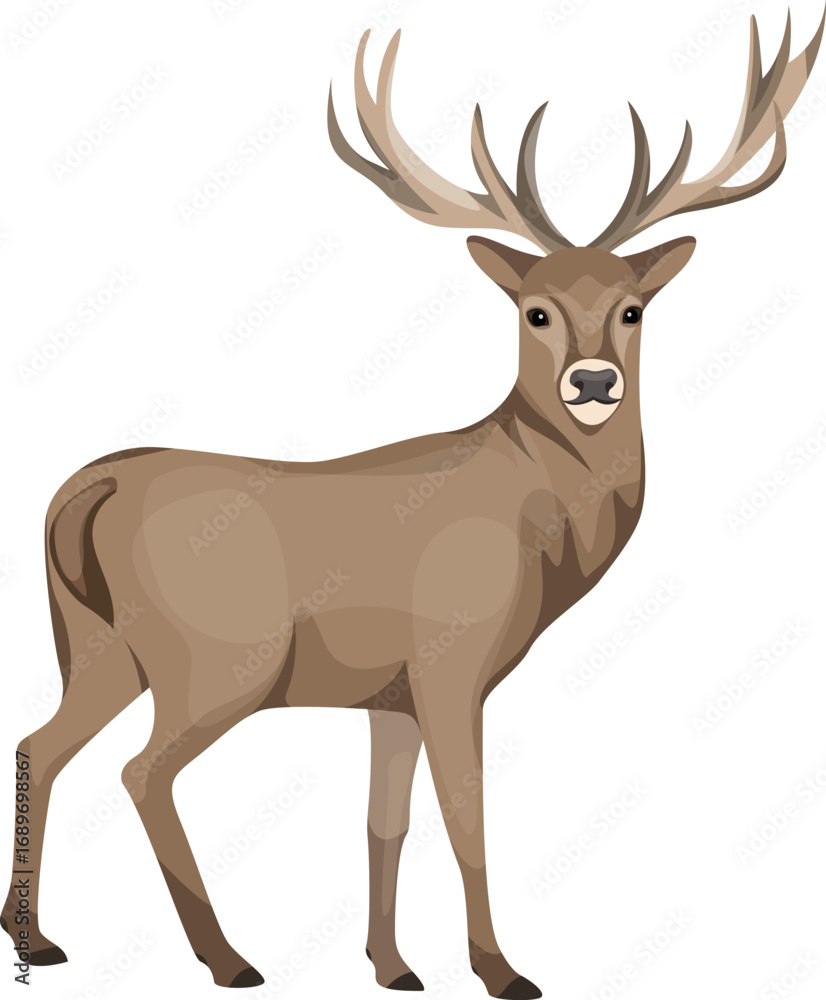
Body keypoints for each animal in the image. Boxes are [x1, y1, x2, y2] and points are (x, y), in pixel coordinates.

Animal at [3, 9, 823, 998]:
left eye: (634, 309)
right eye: (535, 310)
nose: (594, 382)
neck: (541, 529)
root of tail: (91, 485)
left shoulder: (386, 697)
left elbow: (382, 824)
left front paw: (393, 966)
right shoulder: (451, 657)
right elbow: (467, 813)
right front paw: (501, 969)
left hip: (98, 645)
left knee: (39, 742)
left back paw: (37, 937)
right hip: (221, 659)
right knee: (140, 770)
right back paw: (226, 956)